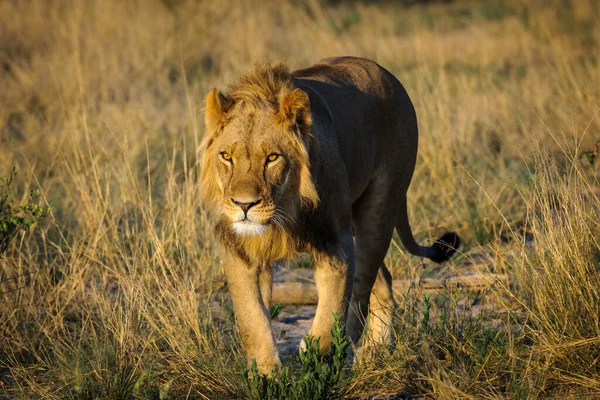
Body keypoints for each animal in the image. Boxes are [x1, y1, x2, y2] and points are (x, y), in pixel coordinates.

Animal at [202, 57, 460, 376]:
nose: (244, 204)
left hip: (378, 210)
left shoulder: (336, 243)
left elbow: (333, 309)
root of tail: (385, 73)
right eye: (226, 156)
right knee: (382, 280)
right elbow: (252, 319)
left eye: (272, 158)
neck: (285, 212)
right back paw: (375, 353)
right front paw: (266, 375)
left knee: (362, 288)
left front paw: (317, 355)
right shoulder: (242, 251)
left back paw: (357, 348)